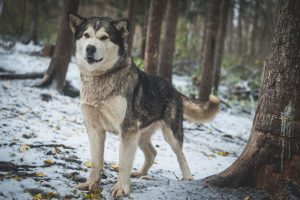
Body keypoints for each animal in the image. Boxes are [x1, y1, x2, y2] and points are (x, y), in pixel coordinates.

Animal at [67, 13, 218, 198]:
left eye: (104, 37)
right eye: (86, 35)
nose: (90, 48)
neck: (100, 78)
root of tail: (173, 88)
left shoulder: (127, 129)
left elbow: (124, 163)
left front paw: (121, 189)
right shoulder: (95, 128)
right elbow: (96, 162)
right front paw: (90, 184)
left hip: (170, 134)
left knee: (181, 155)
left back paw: (188, 178)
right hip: (140, 135)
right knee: (152, 152)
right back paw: (140, 173)